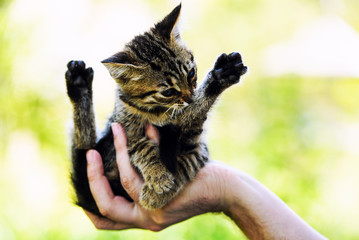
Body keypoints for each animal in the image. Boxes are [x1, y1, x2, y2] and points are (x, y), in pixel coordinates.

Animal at [65, 2, 248, 215]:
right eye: (168, 92)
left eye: (191, 74)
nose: (190, 97)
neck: (159, 111)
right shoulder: (125, 130)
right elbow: (143, 147)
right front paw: (158, 176)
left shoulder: (195, 144)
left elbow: (185, 161)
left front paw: (157, 194)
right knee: (84, 150)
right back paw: (78, 85)